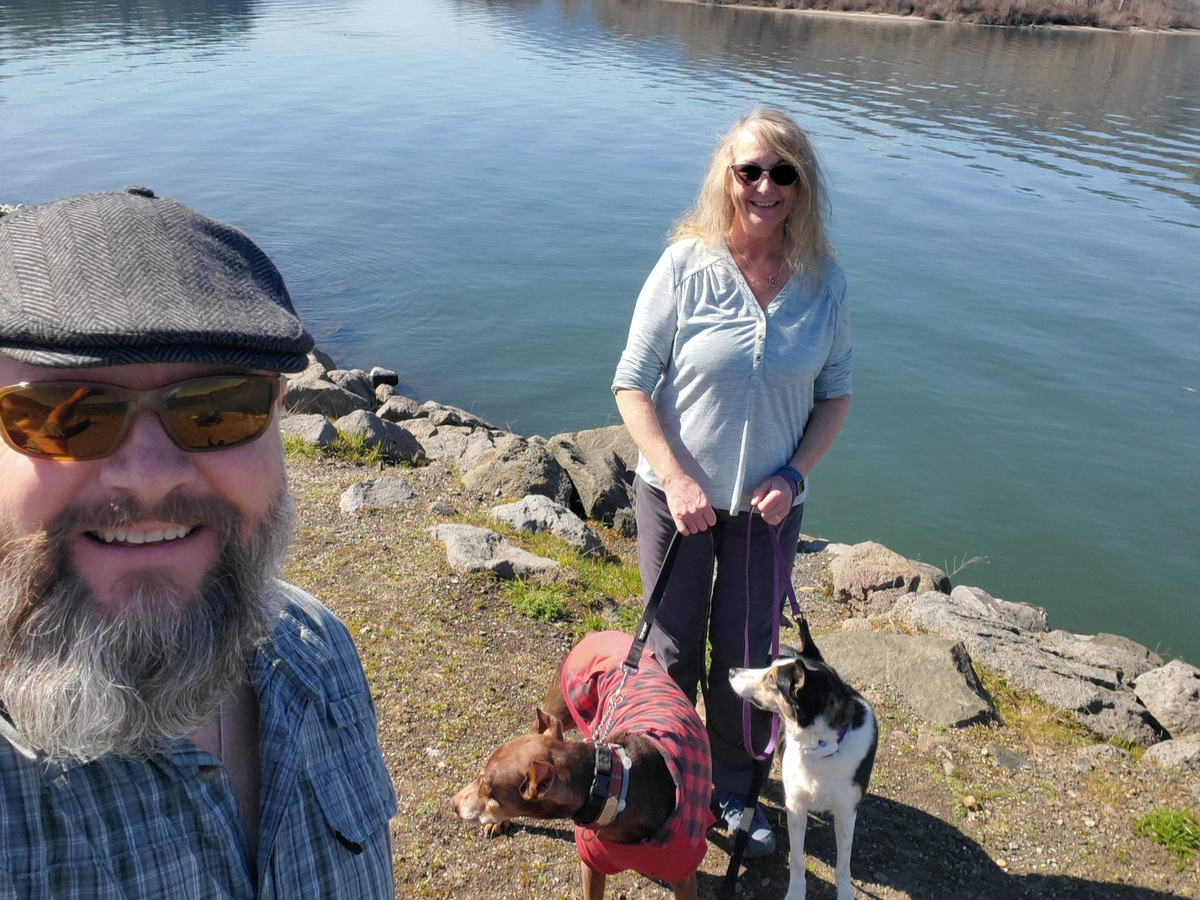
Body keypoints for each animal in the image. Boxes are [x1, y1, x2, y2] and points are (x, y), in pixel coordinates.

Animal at [452, 630, 714, 900]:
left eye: (489, 788)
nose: (453, 803)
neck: (614, 787)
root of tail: (601, 632)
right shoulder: (592, 863)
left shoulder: (683, 875)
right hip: (559, 708)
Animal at [728, 620, 877, 900]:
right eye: (768, 669)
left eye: (771, 679)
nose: (732, 670)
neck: (820, 746)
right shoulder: (796, 806)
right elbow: (797, 861)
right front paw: (796, 893)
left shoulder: (846, 811)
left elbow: (843, 865)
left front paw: (845, 894)